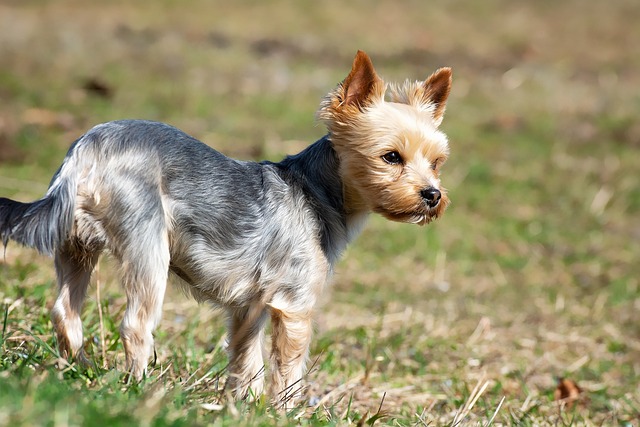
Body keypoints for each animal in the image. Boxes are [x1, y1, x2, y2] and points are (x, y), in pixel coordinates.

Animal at [0, 51, 450, 408]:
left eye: (437, 162)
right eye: (391, 157)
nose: (433, 195)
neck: (317, 191)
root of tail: (87, 149)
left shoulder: (249, 310)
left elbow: (245, 362)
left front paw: (242, 406)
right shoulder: (294, 307)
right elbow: (288, 371)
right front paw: (284, 413)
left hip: (75, 244)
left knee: (65, 312)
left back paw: (80, 372)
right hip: (148, 247)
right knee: (135, 326)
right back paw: (140, 391)